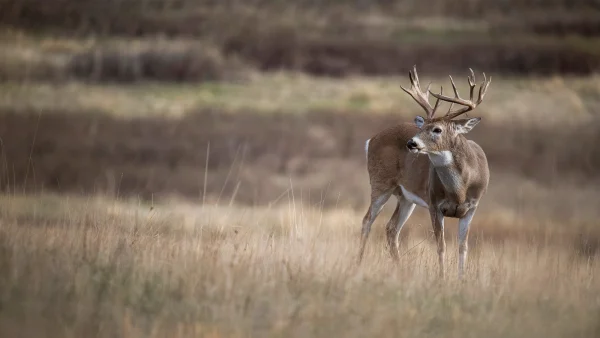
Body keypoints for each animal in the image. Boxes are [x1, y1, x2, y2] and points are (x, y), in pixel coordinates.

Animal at [356, 66, 492, 280]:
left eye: (437, 129)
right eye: (423, 126)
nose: (411, 143)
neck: (460, 190)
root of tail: (371, 139)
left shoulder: (472, 207)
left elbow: (463, 247)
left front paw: (461, 280)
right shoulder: (434, 203)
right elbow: (441, 246)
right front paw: (442, 278)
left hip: (405, 197)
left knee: (391, 228)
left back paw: (400, 269)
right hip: (380, 182)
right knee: (367, 220)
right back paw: (358, 265)